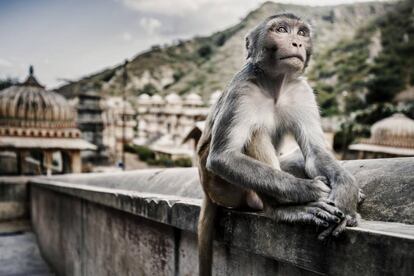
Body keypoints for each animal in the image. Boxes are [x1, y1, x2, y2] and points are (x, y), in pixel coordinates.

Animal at [196, 13, 360, 276]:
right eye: (281, 30)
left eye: (302, 33)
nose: (297, 43)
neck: (274, 83)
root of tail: (206, 191)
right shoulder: (242, 90)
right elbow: (223, 157)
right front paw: (310, 190)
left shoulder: (302, 92)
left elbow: (315, 152)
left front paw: (345, 194)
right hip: (223, 189)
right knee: (255, 133)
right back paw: (284, 210)